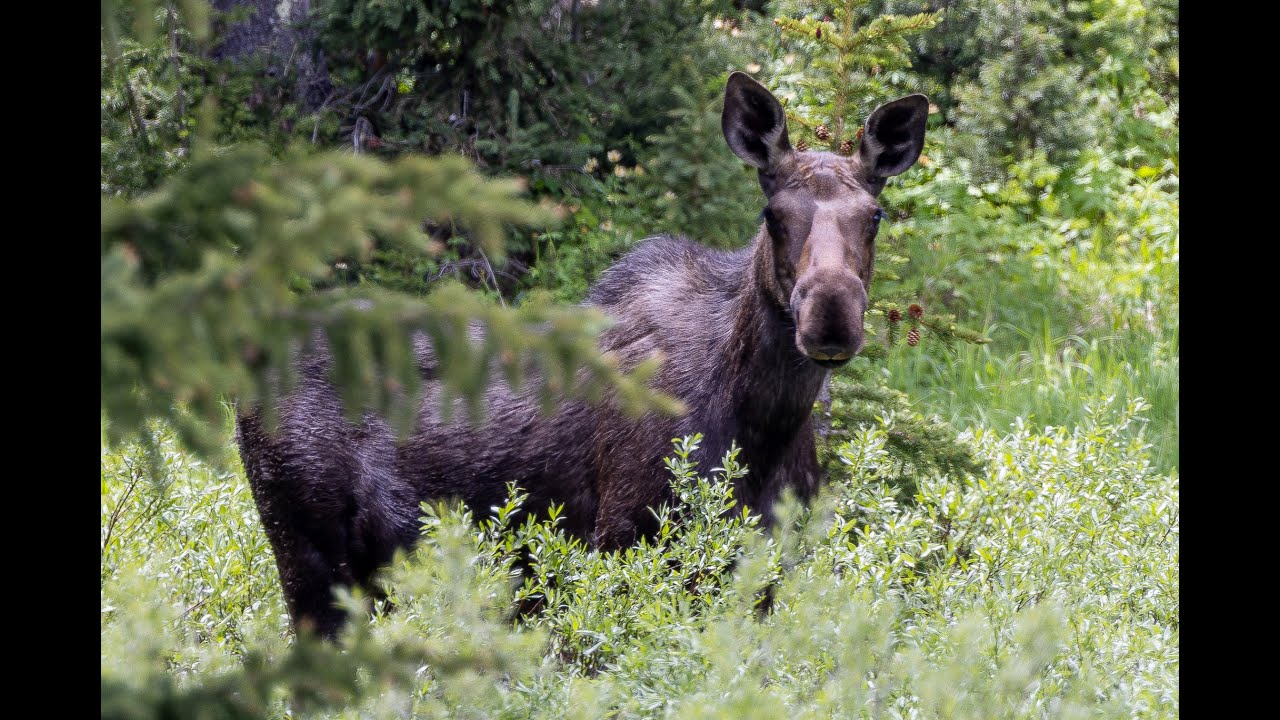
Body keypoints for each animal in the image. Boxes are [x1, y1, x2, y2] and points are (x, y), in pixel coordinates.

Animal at [235, 72, 930, 639]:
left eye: (875, 214)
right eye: (772, 213)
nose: (831, 315)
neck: (764, 421)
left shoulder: (765, 566)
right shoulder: (625, 538)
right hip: (308, 553)